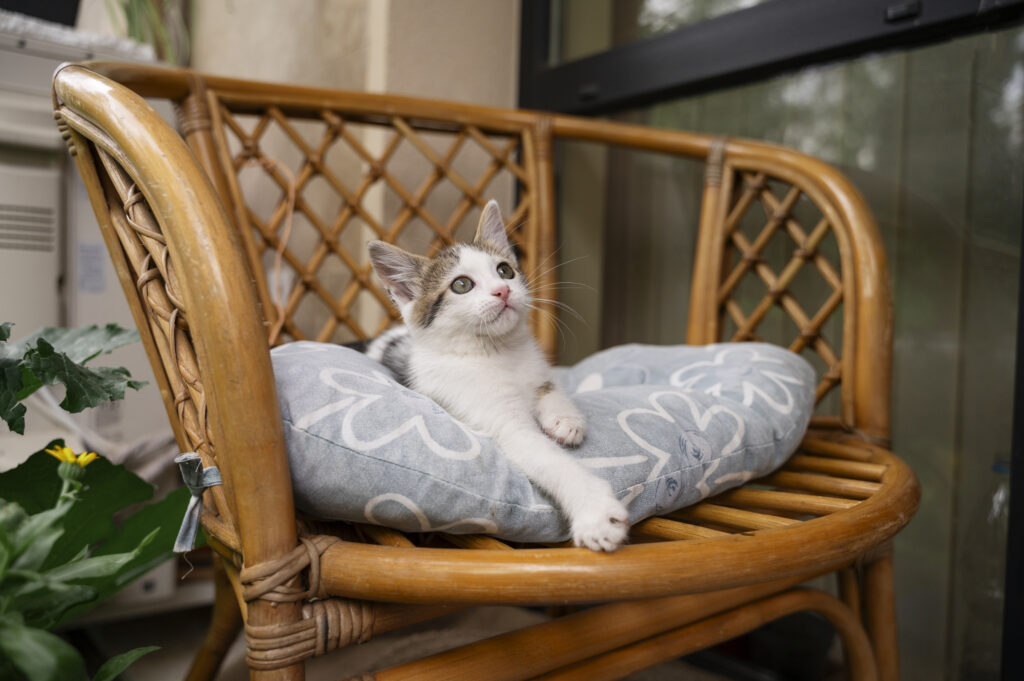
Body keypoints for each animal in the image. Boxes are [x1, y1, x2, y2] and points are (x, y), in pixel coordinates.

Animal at [364, 199, 626, 548]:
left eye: (505, 270)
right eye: (461, 285)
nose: (503, 290)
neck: (497, 353)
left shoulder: (536, 367)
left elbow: (549, 386)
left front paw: (566, 420)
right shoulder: (501, 423)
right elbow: (548, 459)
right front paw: (596, 513)